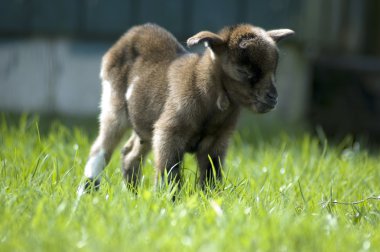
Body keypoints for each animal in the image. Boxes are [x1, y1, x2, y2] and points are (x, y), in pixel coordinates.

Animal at [78, 23, 296, 193]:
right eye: (245, 70)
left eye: (273, 70)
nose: (273, 98)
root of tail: (133, 33)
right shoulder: (169, 133)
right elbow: (169, 173)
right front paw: (169, 201)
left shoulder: (217, 142)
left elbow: (211, 176)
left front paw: (211, 200)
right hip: (113, 106)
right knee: (100, 149)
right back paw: (87, 190)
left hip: (146, 124)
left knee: (130, 153)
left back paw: (132, 193)